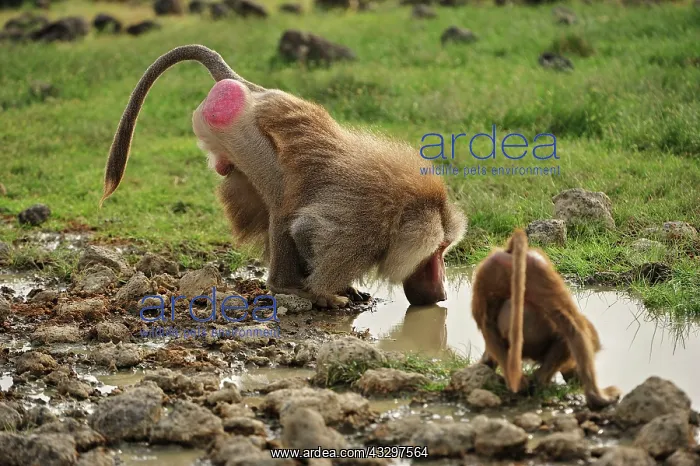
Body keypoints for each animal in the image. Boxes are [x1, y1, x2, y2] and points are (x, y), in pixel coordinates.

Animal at [100, 45, 466, 309]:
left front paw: (341, 288)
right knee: (282, 202)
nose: (443, 293)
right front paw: (324, 292)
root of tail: (252, 89)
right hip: (235, 129)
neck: (401, 212)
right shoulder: (362, 230)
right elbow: (304, 230)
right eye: (437, 252)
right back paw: (285, 286)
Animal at [470, 228, 620, 410]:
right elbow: (574, 327)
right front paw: (599, 398)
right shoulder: (538, 265)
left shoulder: (488, 268)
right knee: (566, 332)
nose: (574, 379)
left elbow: (487, 325)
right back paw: (539, 381)